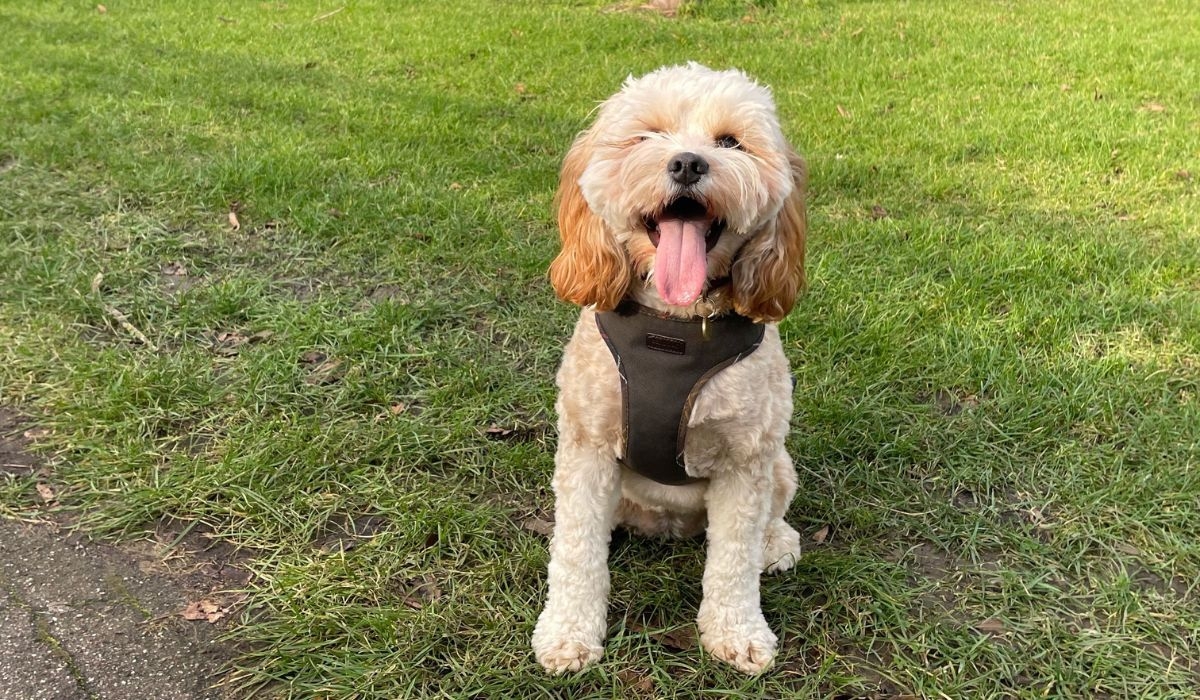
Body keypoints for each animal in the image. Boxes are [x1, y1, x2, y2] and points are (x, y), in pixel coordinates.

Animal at [532, 63, 806, 677]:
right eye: (647, 135)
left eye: (730, 142)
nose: (686, 163)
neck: (675, 328)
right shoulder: (585, 446)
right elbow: (577, 551)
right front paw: (567, 633)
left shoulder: (746, 459)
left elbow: (732, 560)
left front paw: (737, 631)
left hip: (779, 462)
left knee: (769, 520)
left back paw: (775, 544)